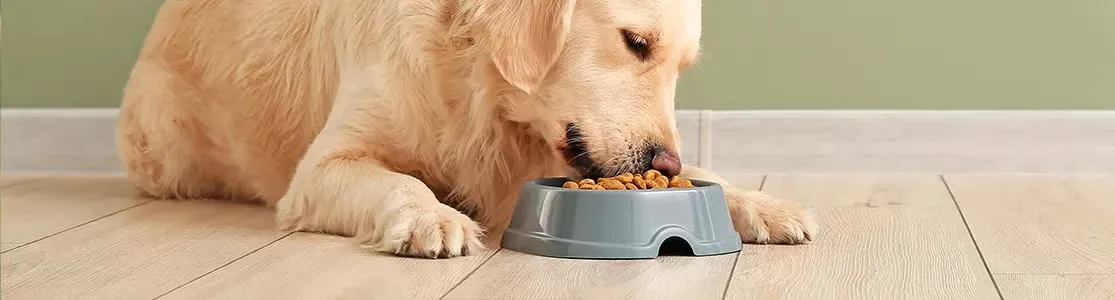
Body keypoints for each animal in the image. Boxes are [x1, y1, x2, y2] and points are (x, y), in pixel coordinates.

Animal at [117, 0, 816, 256]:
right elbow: (400, 182)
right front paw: (434, 217)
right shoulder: (321, 169)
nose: (664, 163)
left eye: (680, 68)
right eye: (635, 42)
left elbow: (709, 177)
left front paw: (763, 205)